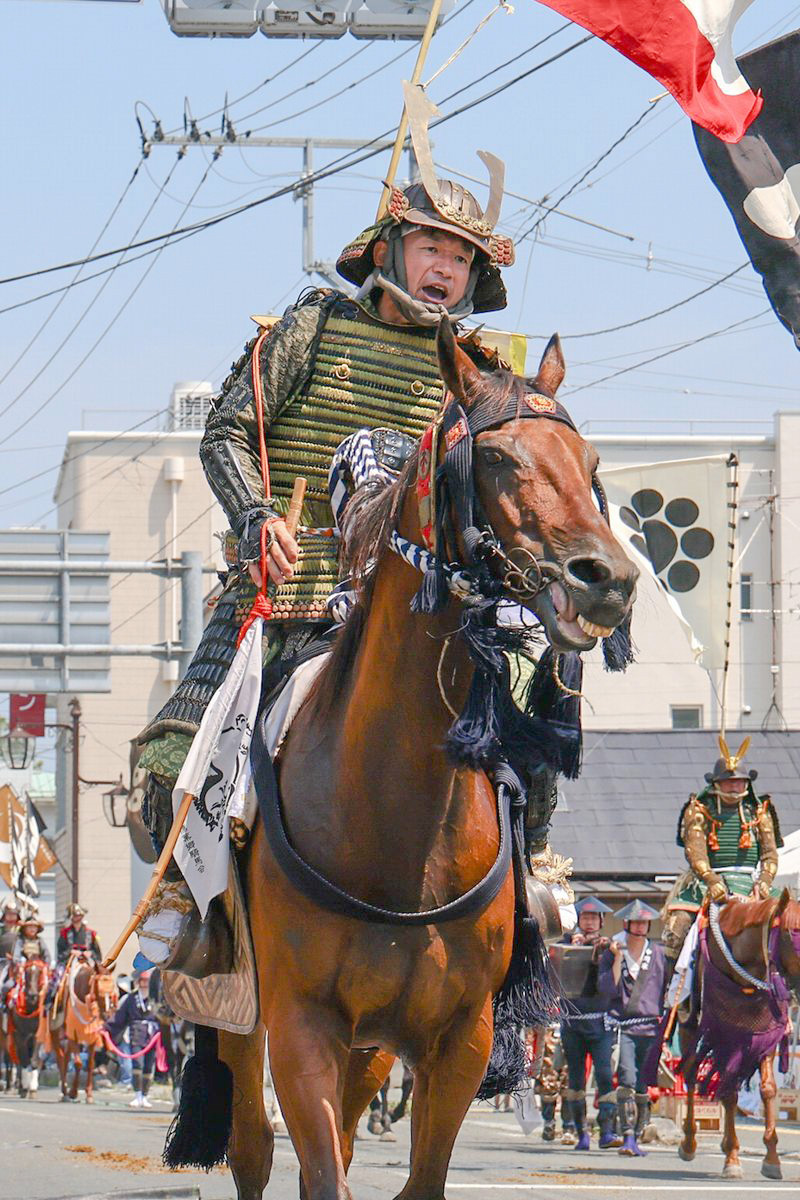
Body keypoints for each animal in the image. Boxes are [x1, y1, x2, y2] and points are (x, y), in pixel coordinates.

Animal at [50, 950, 118, 1099]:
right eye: (98, 990)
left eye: (112, 990)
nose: (107, 1015)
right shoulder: (73, 1033)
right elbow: (78, 1063)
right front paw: (74, 1092)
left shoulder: (92, 1033)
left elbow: (91, 1064)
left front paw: (89, 1093)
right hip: (55, 1030)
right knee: (60, 1056)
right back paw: (64, 1089)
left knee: (66, 1055)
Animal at [183, 321, 638, 1200]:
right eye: (500, 459)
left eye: (591, 462)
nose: (608, 578)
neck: (396, 821)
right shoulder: (300, 1023)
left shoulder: (458, 1038)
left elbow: (406, 1174)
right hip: (241, 1008)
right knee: (253, 1148)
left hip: (376, 1043)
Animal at [681, 892, 800, 1180]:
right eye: (791, 935)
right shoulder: (725, 1033)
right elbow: (729, 1091)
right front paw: (733, 1158)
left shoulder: (762, 1033)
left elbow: (767, 1089)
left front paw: (772, 1158)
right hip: (689, 1022)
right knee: (690, 1073)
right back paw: (689, 1143)